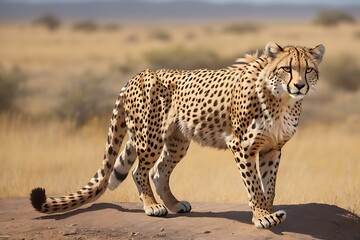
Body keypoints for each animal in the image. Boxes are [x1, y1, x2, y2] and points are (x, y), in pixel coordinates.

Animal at [29, 42, 324, 229]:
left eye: (309, 69)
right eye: (287, 68)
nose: (299, 85)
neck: (282, 99)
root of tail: (138, 74)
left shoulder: (273, 148)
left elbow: (269, 184)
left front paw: (269, 210)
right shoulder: (241, 145)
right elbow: (253, 184)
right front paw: (262, 216)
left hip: (177, 141)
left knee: (159, 170)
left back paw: (173, 204)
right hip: (150, 136)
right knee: (140, 171)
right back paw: (152, 206)